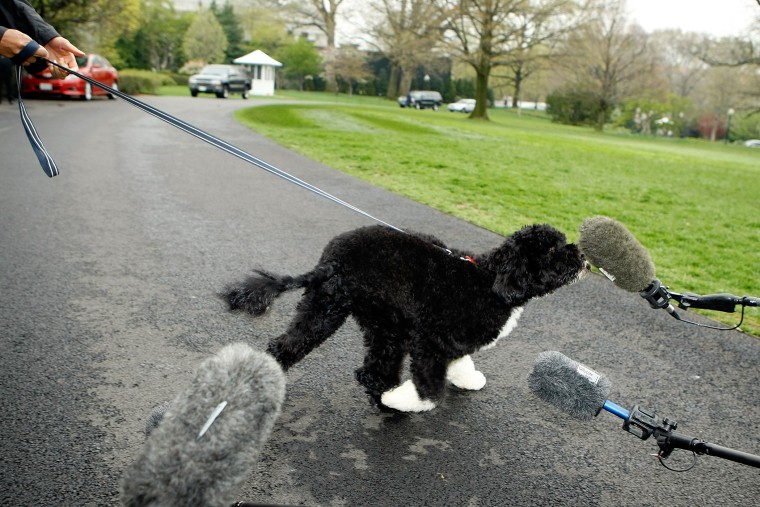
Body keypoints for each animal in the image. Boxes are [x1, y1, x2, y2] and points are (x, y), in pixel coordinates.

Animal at [220, 226, 588, 412]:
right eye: (551, 250)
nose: (583, 257)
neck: (488, 281)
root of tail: (331, 262)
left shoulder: (451, 341)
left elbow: (460, 361)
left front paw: (469, 379)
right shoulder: (430, 341)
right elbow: (432, 389)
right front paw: (408, 401)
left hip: (340, 310)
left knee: (299, 348)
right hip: (364, 317)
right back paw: (389, 401)